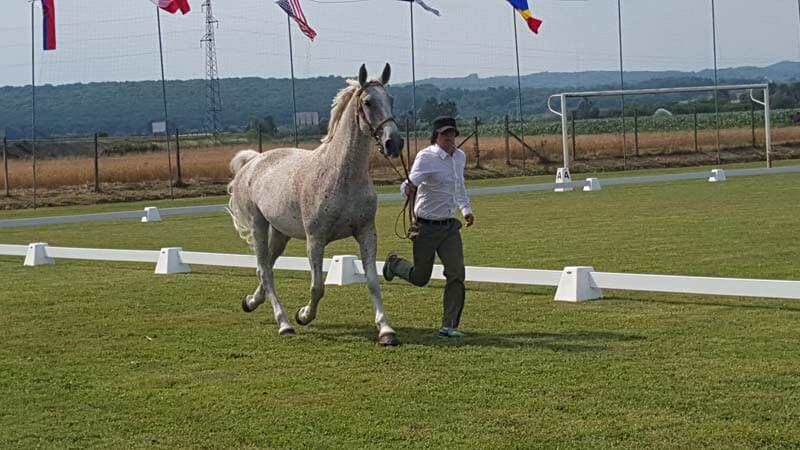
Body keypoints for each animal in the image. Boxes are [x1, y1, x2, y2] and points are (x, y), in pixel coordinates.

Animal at [226, 63, 404, 346]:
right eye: (367, 102)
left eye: (391, 99)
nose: (393, 143)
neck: (340, 175)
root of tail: (253, 161)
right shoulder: (315, 240)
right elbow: (317, 287)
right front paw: (303, 315)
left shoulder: (366, 232)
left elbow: (373, 281)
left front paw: (386, 330)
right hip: (258, 226)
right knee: (266, 272)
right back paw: (284, 323)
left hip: (280, 234)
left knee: (264, 269)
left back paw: (251, 302)